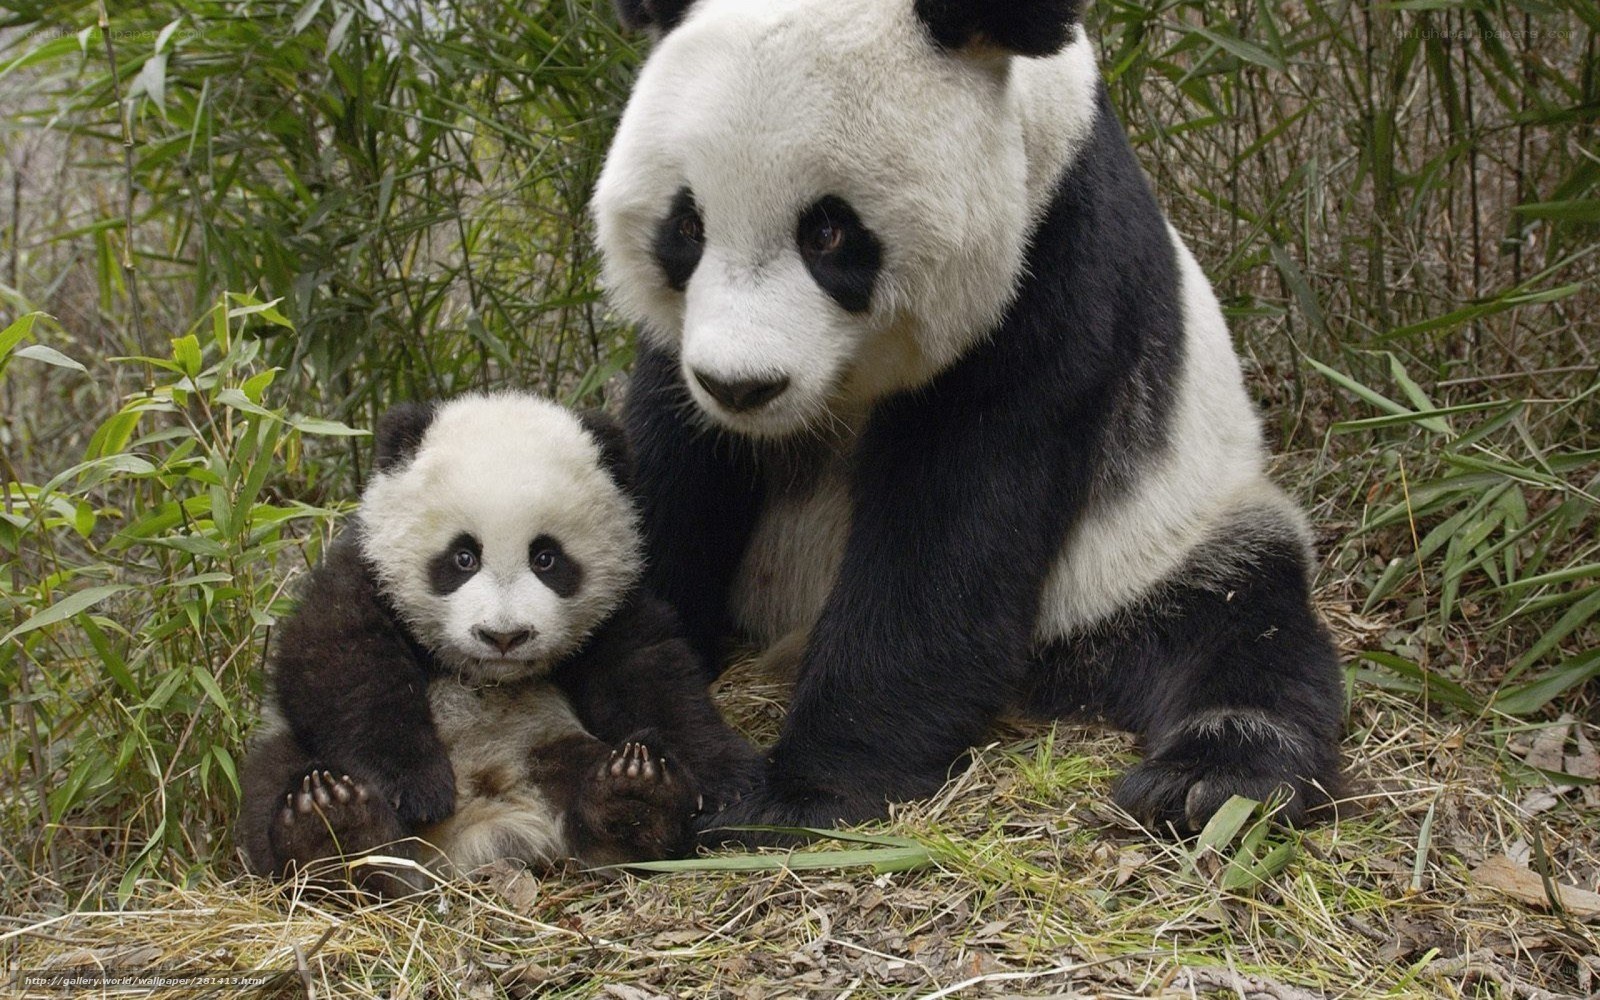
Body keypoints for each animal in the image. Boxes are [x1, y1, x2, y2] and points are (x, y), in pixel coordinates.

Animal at [238, 392, 761, 892]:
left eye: (546, 558)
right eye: (463, 556)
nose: (504, 636)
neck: (486, 677)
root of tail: (480, 831)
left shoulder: (616, 608)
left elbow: (651, 675)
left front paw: (727, 778)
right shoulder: (364, 572)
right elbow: (339, 662)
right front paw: (415, 787)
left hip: (545, 744)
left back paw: (634, 798)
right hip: (290, 753)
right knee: (274, 778)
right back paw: (332, 831)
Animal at [590, 0, 1345, 836]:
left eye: (828, 231)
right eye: (686, 227)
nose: (741, 387)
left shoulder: (1053, 265)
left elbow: (953, 528)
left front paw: (803, 793)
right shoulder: (680, 358)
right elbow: (671, 474)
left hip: (1158, 543)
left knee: (1242, 622)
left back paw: (1208, 780)